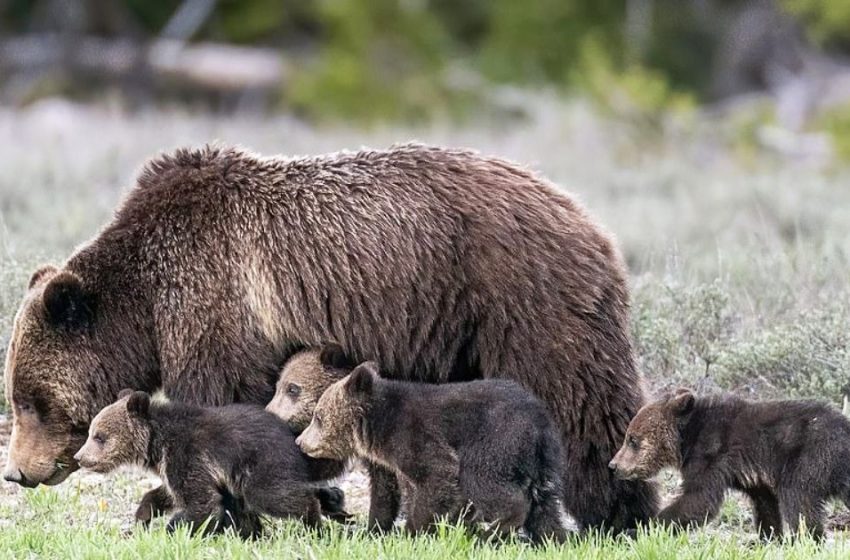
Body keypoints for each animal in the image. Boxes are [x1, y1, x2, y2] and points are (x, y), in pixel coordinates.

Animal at [74, 390, 346, 540]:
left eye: (99, 436)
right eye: (91, 432)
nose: (79, 457)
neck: (156, 443)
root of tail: (296, 440)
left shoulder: (189, 454)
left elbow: (201, 502)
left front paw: (174, 529)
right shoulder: (174, 466)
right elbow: (167, 493)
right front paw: (144, 517)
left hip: (262, 464)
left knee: (273, 495)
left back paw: (314, 520)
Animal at [294, 364, 568, 544]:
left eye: (318, 417)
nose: (300, 441)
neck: (377, 428)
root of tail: (541, 421)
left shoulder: (414, 435)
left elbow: (438, 475)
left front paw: (415, 531)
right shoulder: (394, 463)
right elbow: (392, 492)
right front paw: (374, 530)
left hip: (496, 440)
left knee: (485, 481)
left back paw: (491, 532)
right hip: (538, 462)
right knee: (544, 504)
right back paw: (552, 539)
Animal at [608, 390, 848, 540]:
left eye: (632, 440)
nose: (613, 465)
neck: (686, 439)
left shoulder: (710, 455)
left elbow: (698, 499)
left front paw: (636, 531)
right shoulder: (754, 478)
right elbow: (765, 505)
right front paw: (769, 538)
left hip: (812, 455)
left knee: (799, 499)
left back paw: (810, 540)